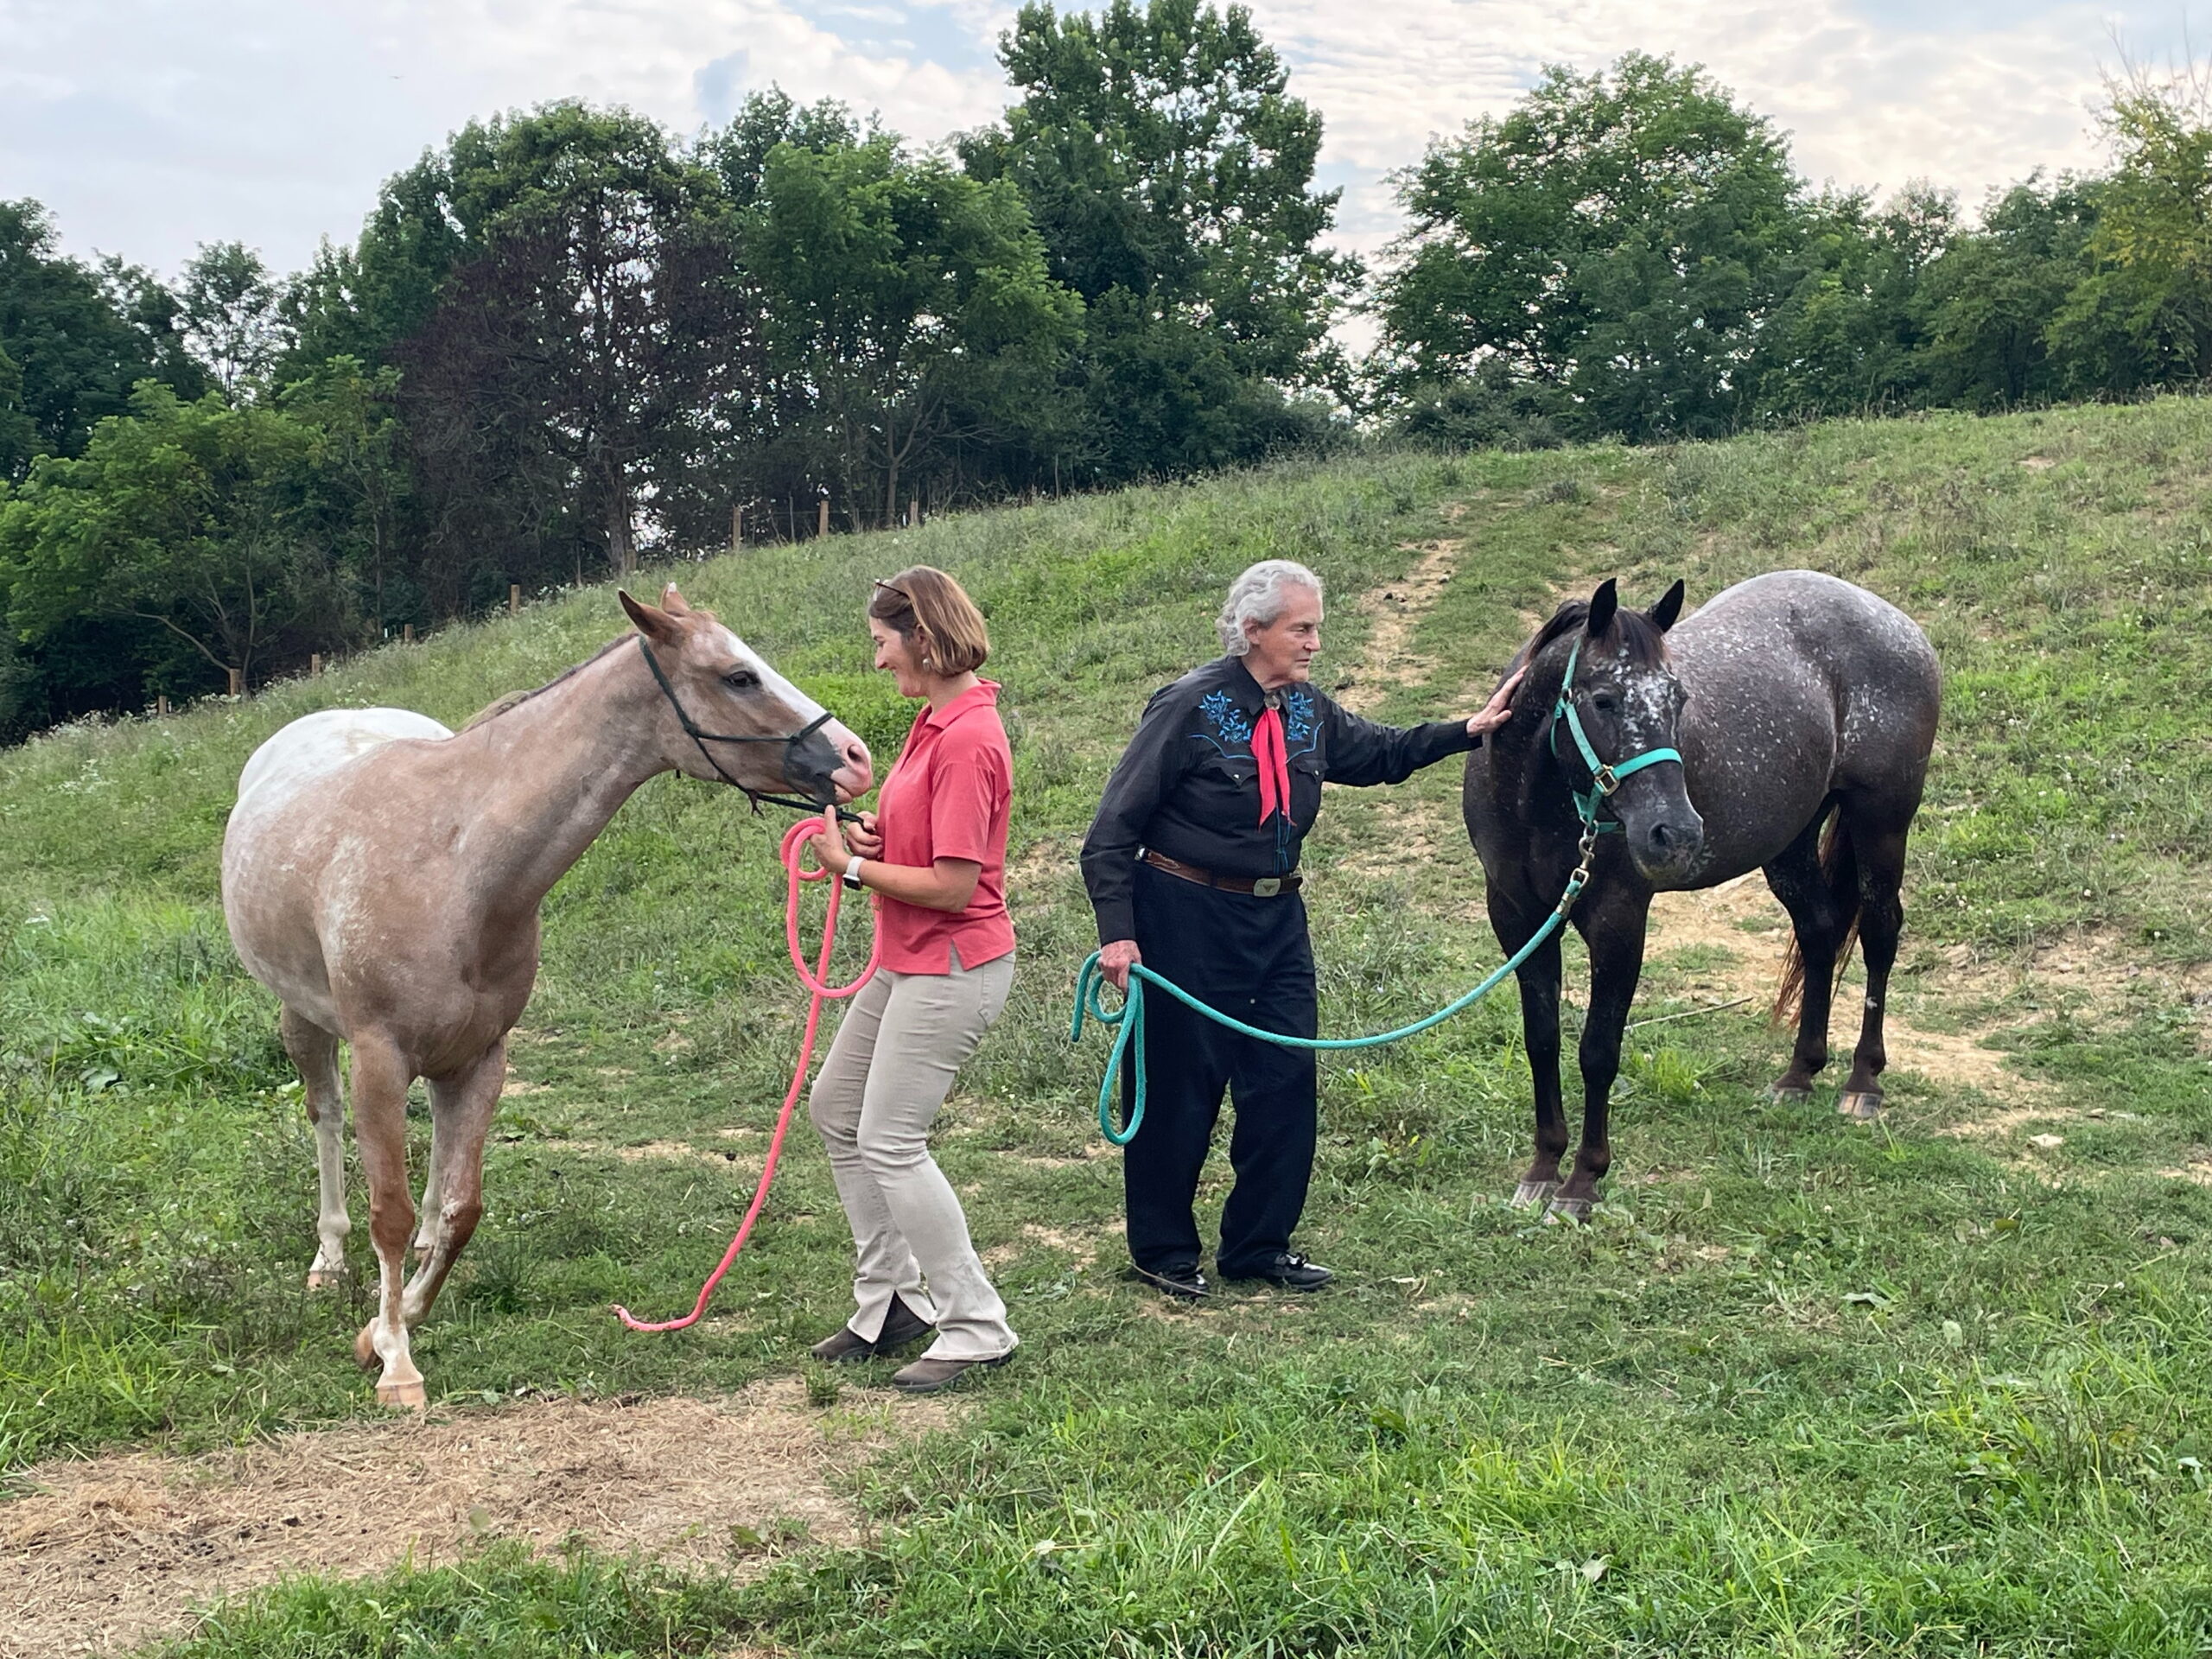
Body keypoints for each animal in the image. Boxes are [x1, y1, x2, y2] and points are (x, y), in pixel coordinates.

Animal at [220, 585, 872, 1406]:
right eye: (738, 676)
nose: (855, 758)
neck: (452, 861)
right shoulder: (378, 1057)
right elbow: (387, 1212)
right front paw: (396, 1358)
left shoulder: (484, 1056)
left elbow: (462, 1208)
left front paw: (394, 1318)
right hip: (304, 1019)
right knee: (327, 1121)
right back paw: (330, 1259)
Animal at [1463, 571, 1941, 1218]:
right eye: (1604, 700)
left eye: (1679, 701)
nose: (1678, 832)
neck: (1536, 802)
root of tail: (1899, 624)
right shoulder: (1518, 918)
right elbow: (1542, 1040)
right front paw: (1542, 1167)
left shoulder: (1618, 922)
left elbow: (1597, 1050)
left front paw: (1583, 1181)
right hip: (1789, 844)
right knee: (1819, 930)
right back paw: (1799, 1074)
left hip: (1881, 824)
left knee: (1879, 934)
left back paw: (1863, 1081)